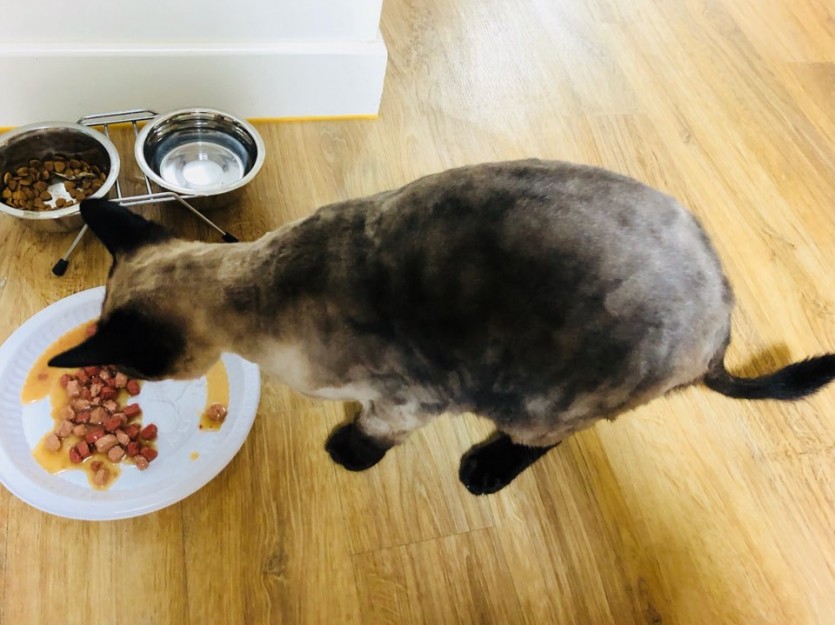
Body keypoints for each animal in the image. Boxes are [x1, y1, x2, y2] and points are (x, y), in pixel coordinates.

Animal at [48, 160, 835, 494]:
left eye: (130, 370)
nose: (121, 378)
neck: (259, 286)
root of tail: (721, 321)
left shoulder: (408, 398)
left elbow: (373, 433)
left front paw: (346, 451)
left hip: (541, 397)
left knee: (543, 438)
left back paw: (483, 471)